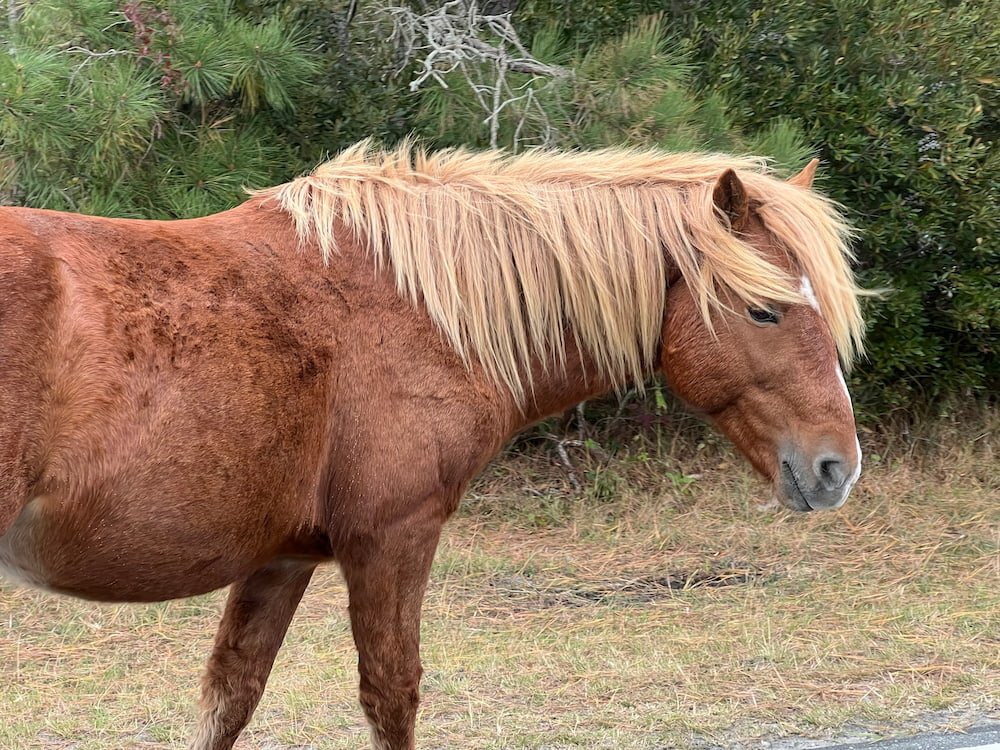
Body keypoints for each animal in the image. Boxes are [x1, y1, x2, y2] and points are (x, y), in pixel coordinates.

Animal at [0, 141, 865, 750]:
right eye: (763, 309)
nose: (836, 467)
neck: (416, 307)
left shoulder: (279, 562)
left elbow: (230, 698)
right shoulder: (394, 540)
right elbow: (392, 695)